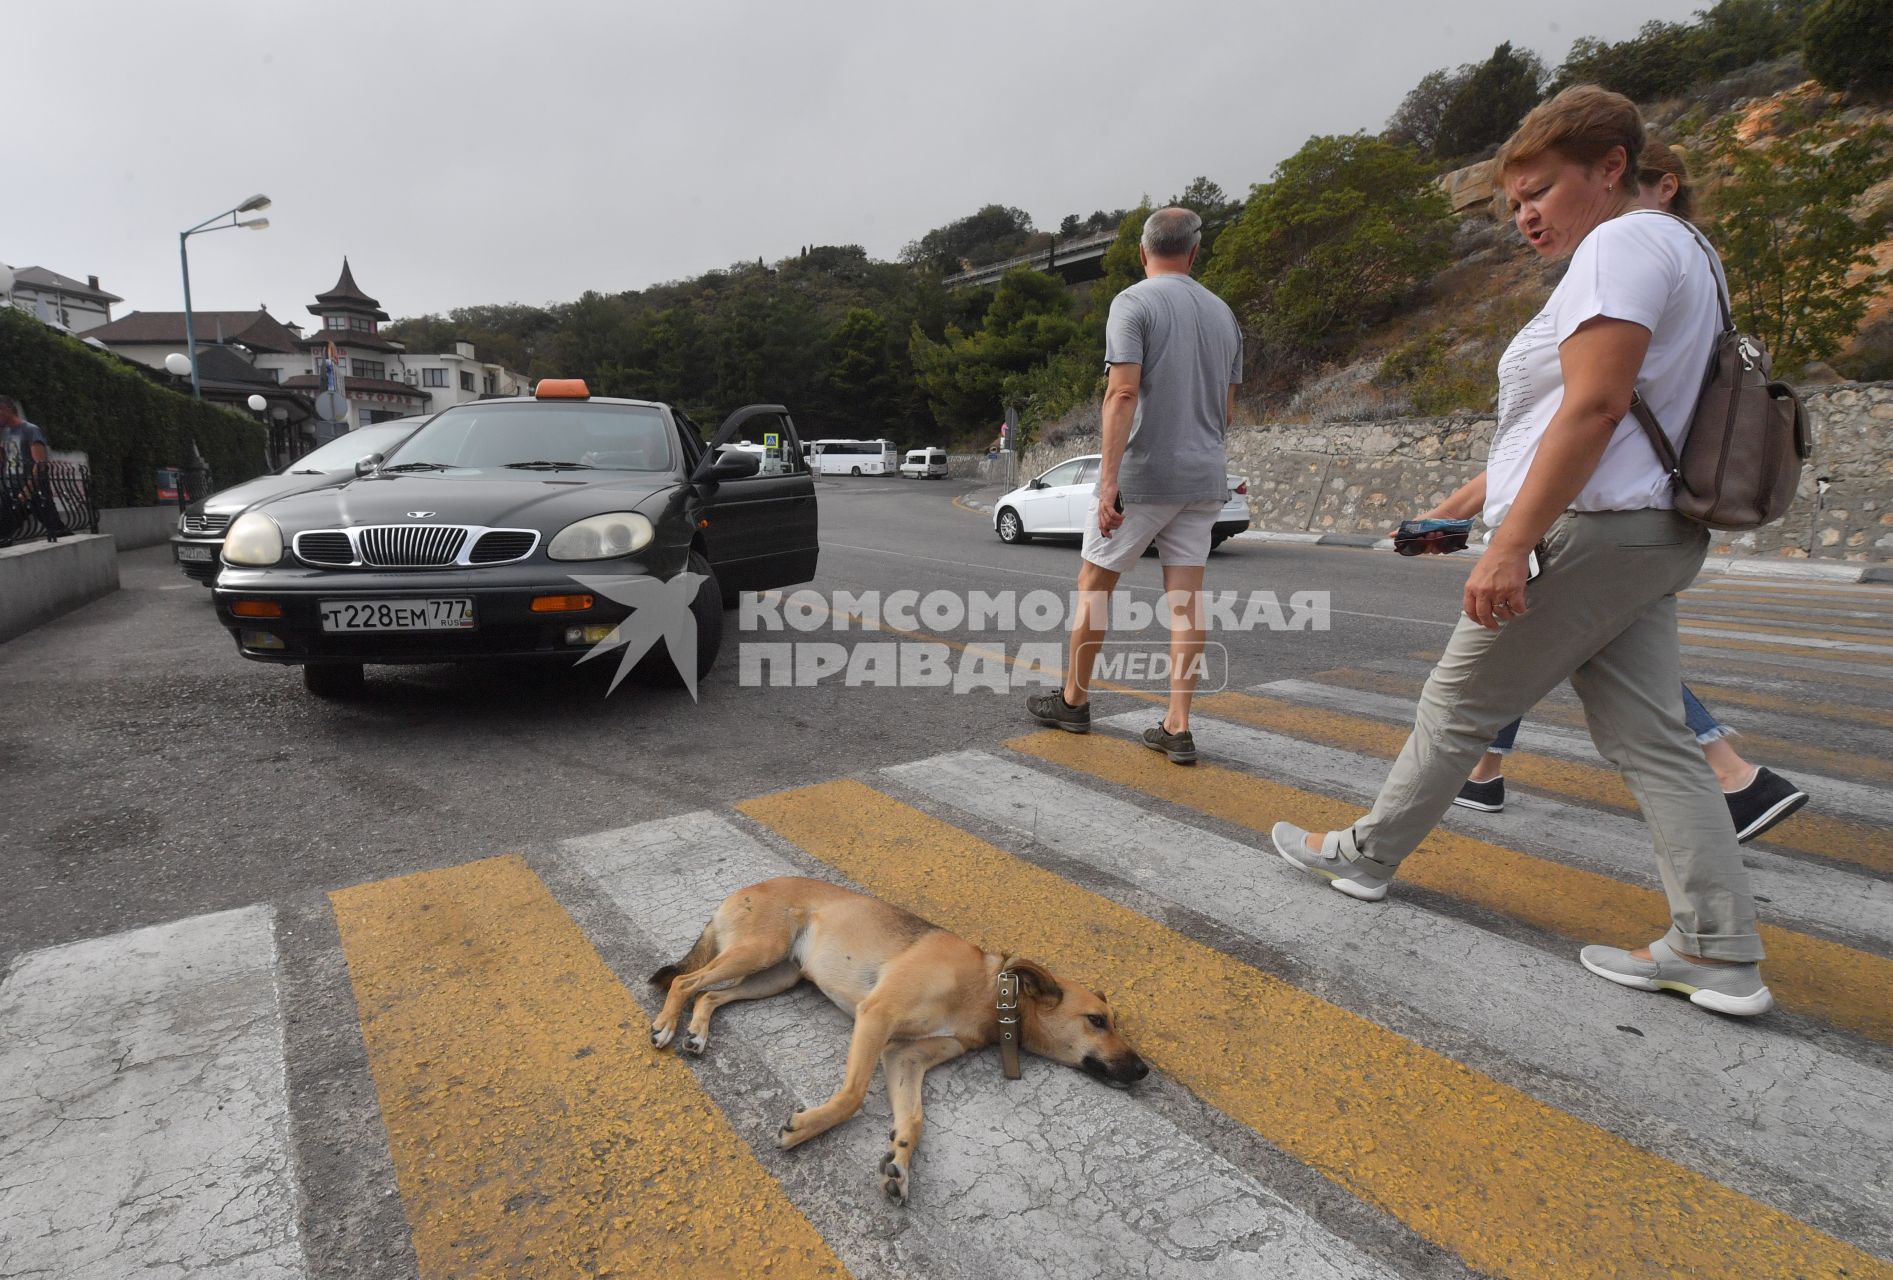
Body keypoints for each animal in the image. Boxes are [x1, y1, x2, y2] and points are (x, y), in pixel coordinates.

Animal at [651, 874, 1150, 1204]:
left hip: (777, 975)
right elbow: (853, 1095)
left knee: (710, 993)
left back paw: (696, 1032)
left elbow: (914, 1119)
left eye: (1112, 1022)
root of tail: (745, 888)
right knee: (685, 983)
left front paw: (901, 1163)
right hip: (759, 951)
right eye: (1097, 1021)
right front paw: (806, 1127)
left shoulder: (902, 1057)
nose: (1144, 1070)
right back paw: (667, 1025)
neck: (990, 994)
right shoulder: (877, 1016)